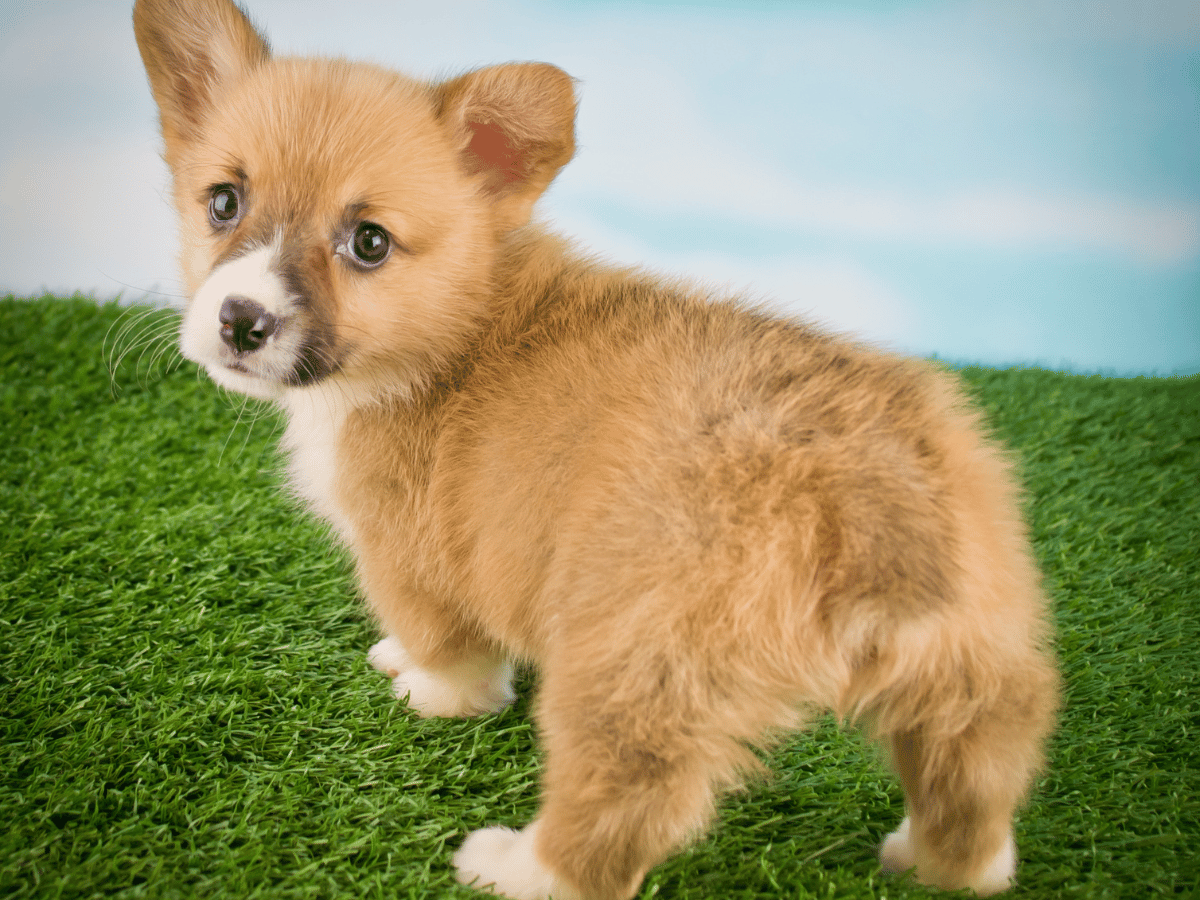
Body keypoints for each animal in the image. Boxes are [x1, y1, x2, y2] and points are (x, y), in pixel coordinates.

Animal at [133, 3, 1060, 897]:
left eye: (369, 242)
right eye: (223, 202)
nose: (241, 322)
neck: (457, 321)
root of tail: (861, 494)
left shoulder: (405, 552)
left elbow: (448, 649)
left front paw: (432, 692)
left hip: (632, 665)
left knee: (618, 813)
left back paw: (516, 869)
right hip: (973, 657)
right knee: (975, 777)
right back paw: (945, 864)